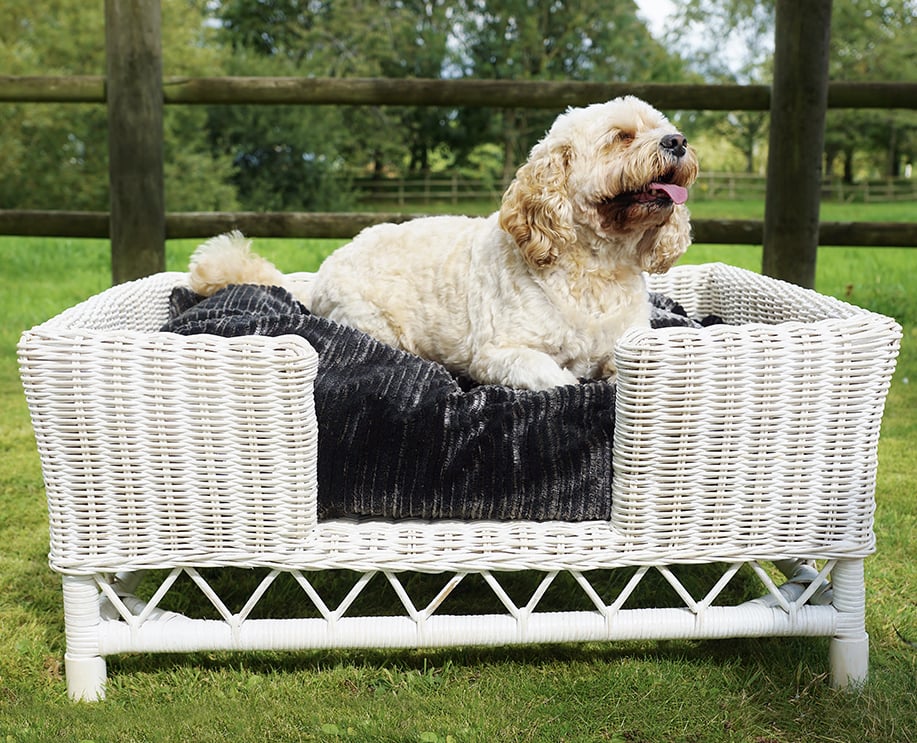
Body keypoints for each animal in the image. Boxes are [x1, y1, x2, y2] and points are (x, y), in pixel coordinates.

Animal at [190, 96, 696, 392]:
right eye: (621, 137)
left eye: (663, 128)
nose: (678, 141)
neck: (594, 268)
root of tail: (320, 274)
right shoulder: (500, 356)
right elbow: (559, 379)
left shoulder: (625, 342)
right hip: (374, 324)